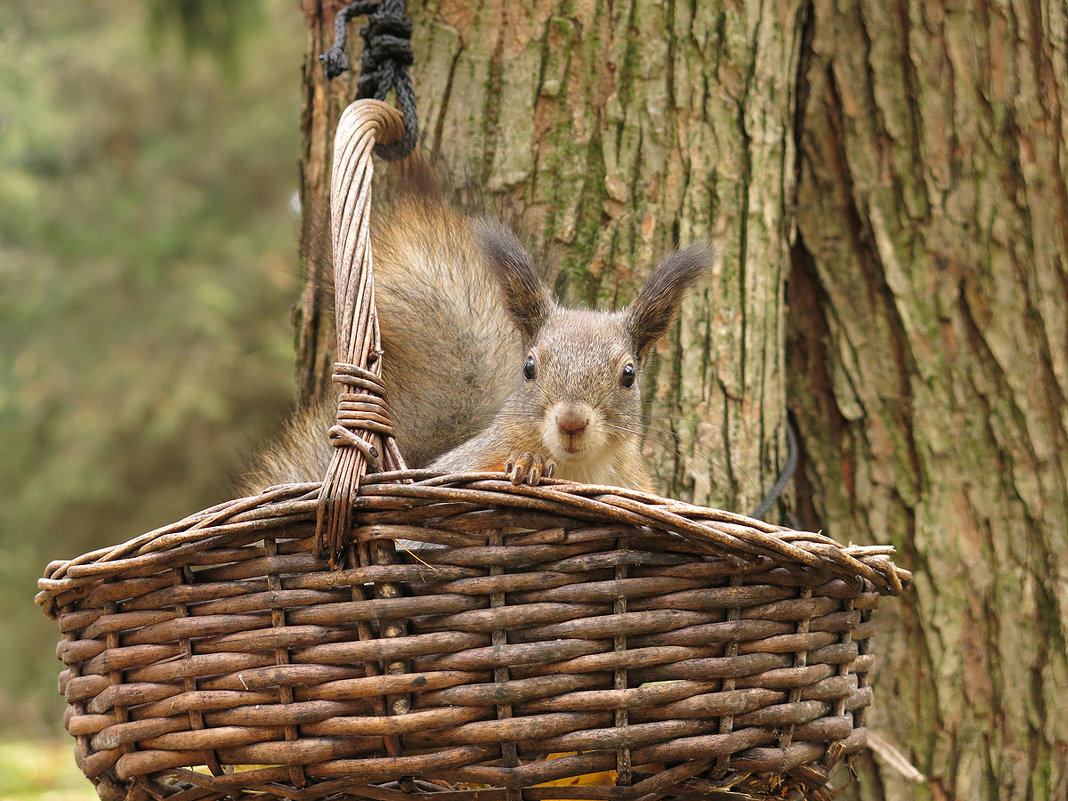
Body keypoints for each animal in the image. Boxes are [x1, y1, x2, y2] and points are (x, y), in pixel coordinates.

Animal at [245, 167, 713, 495]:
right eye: (528, 368)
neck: (578, 470)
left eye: (629, 375)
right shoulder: (463, 468)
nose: (571, 421)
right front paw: (528, 463)